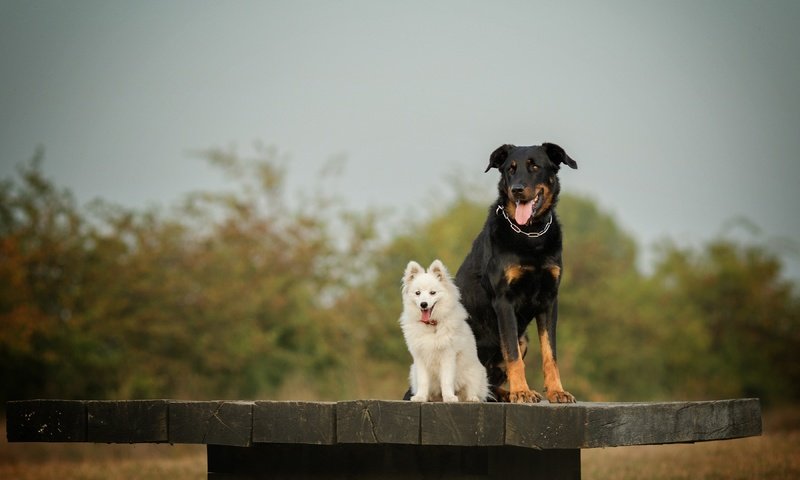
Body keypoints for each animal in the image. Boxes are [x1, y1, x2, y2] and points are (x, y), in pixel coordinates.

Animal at [398, 258, 488, 402]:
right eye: (417, 293)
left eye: (432, 293)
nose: (423, 304)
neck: (431, 325)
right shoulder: (420, 357)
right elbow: (423, 381)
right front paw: (420, 397)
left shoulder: (448, 355)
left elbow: (446, 380)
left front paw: (449, 397)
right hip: (413, 371)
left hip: (476, 372)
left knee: (472, 390)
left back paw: (472, 398)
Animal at [456, 144, 576, 404]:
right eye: (510, 169)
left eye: (535, 166)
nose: (517, 190)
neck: (531, 235)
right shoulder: (504, 300)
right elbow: (512, 355)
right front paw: (521, 391)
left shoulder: (549, 300)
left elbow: (550, 353)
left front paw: (556, 391)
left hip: (525, 339)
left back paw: (503, 395)